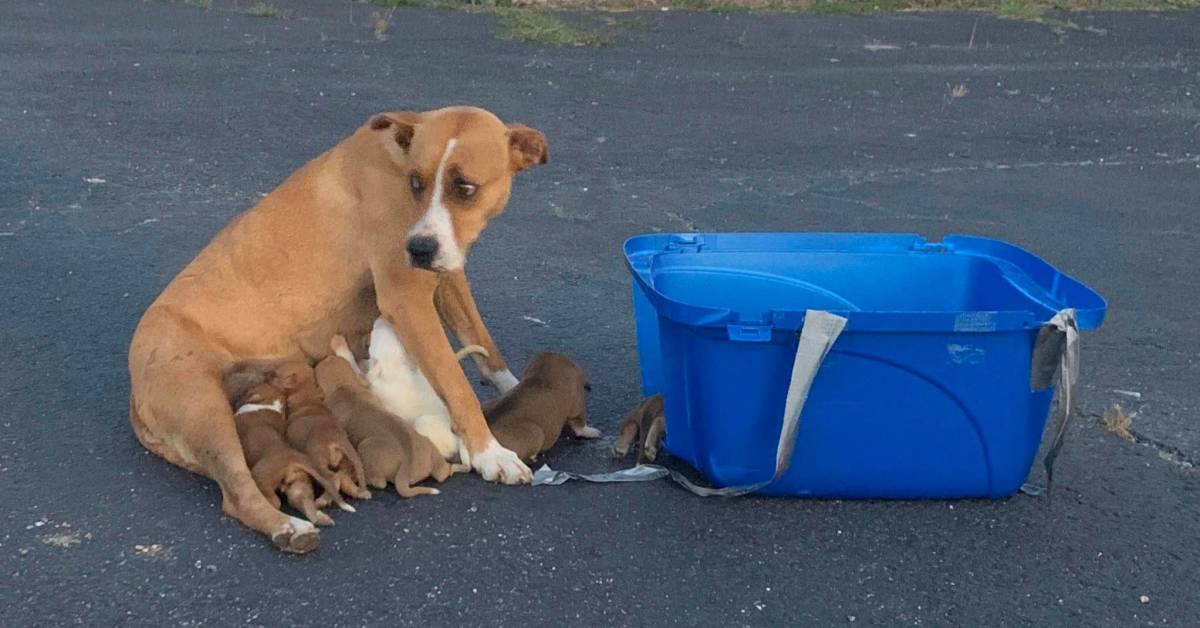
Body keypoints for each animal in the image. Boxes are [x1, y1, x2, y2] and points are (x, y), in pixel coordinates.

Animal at [231, 384, 343, 525]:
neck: (270, 404)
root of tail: (292, 459)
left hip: (260, 476)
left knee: (276, 502)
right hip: (298, 483)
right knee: (306, 506)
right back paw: (322, 518)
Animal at [270, 360, 367, 504]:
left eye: (276, 374)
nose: (265, 374)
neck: (307, 396)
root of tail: (337, 441)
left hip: (317, 460)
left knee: (333, 477)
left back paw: (322, 500)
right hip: (343, 461)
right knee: (343, 476)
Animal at [314, 353, 453, 497]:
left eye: (320, 366)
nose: (328, 357)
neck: (343, 385)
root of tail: (406, 468)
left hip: (365, 446)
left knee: (380, 483)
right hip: (428, 446)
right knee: (442, 473)